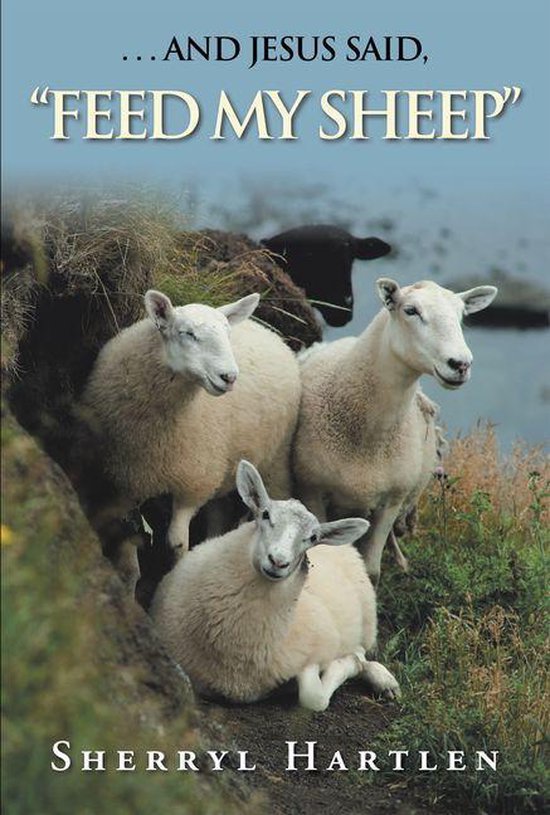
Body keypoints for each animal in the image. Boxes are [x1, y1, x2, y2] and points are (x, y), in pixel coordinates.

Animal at [82, 289, 301, 557]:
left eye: (228, 334)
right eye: (186, 333)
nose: (229, 377)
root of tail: (268, 332)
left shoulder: (194, 483)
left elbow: (176, 543)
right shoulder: (123, 479)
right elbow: (124, 533)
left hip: (276, 460)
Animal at [151, 460, 400, 711]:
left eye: (313, 537)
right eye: (265, 514)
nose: (278, 561)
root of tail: (346, 546)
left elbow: (314, 697)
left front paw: (347, 663)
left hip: (367, 623)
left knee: (364, 652)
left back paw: (383, 679)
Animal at [293, 278, 498, 585]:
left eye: (461, 314)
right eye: (411, 310)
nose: (460, 364)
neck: (368, 437)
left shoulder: (390, 502)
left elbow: (371, 571)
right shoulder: (312, 492)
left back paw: (401, 561)